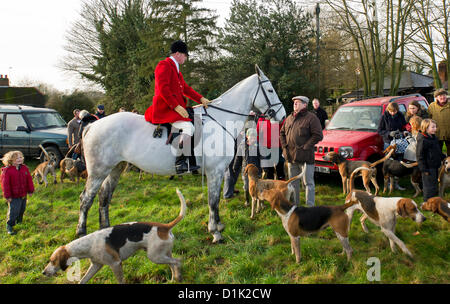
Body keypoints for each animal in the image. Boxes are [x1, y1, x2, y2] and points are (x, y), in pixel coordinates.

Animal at [76, 65, 288, 243]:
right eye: (270, 90)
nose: (283, 115)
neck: (220, 119)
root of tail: (92, 125)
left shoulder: (218, 172)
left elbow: (215, 201)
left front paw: (218, 226)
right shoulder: (215, 171)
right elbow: (213, 201)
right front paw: (215, 232)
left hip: (115, 168)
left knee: (104, 197)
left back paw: (106, 231)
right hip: (98, 170)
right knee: (86, 199)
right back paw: (81, 233)